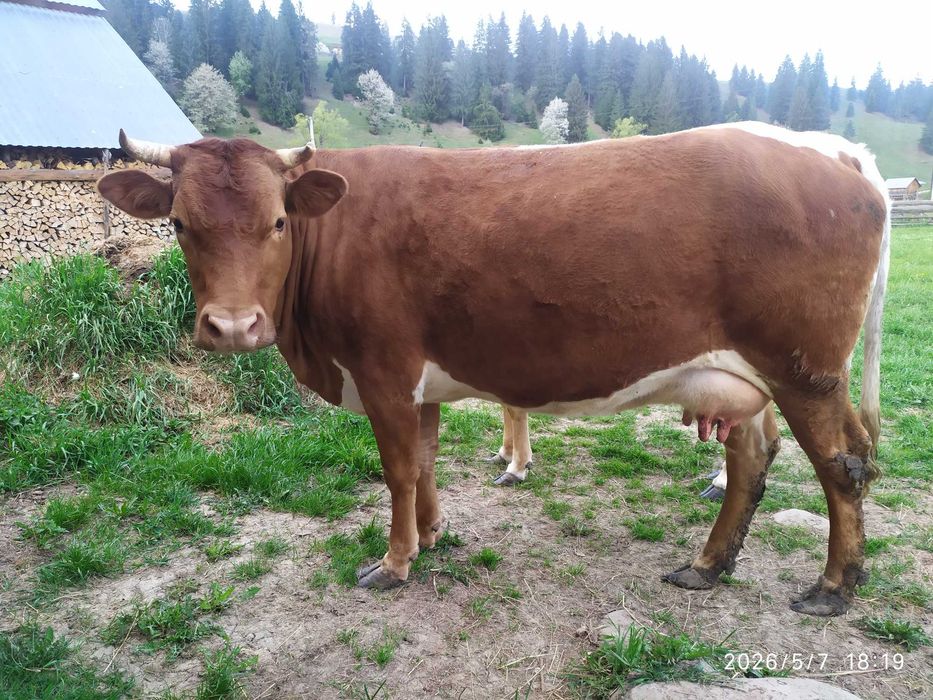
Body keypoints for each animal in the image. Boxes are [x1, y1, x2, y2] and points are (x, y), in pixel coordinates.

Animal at [97, 122, 889, 617]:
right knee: (752, 459)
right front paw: (431, 536)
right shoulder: (417, 383)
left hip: (804, 369)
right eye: (179, 225)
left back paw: (834, 586)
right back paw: (707, 567)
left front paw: (394, 563)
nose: (233, 326)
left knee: (843, 465)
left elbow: (396, 470)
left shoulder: (383, 372)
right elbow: (423, 461)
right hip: (746, 379)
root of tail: (836, 154)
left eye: (278, 223)